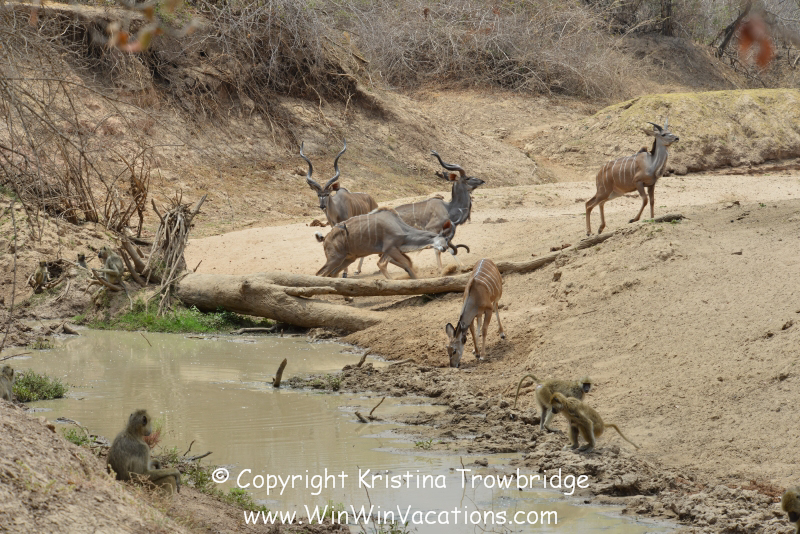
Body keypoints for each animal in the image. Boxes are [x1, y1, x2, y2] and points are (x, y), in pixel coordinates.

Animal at [301, 140, 378, 276]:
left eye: (327, 194)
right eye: (318, 194)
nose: (322, 206)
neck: (336, 210)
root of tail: (372, 199)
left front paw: (345, 273)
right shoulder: (334, 226)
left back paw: (358, 269)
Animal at [314, 208, 452, 279]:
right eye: (445, 239)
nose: (445, 248)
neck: (399, 226)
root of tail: (325, 238)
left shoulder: (389, 251)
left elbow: (407, 263)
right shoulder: (390, 249)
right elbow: (390, 264)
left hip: (348, 259)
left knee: (332, 274)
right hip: (335, 259)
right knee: (320, 274)